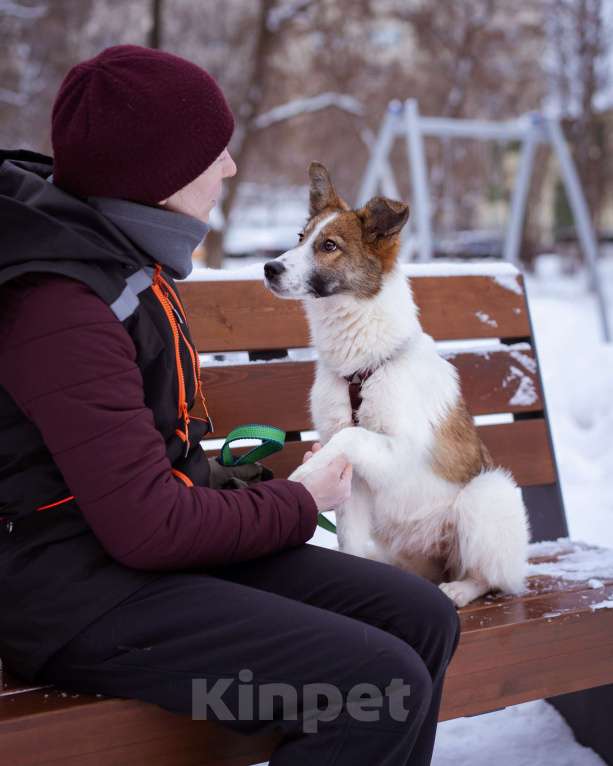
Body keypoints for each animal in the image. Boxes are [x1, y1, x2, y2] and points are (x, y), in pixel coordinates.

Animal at [264, 165, 532, 608]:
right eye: (300, 237)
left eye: (329, 246)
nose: (269, 268)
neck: (361, 368)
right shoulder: (354, 483)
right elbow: (350, 538)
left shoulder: (401, 448)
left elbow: (351, 435)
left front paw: (304, 473)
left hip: (487, 494)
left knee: (491, 577)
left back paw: (461, 588)